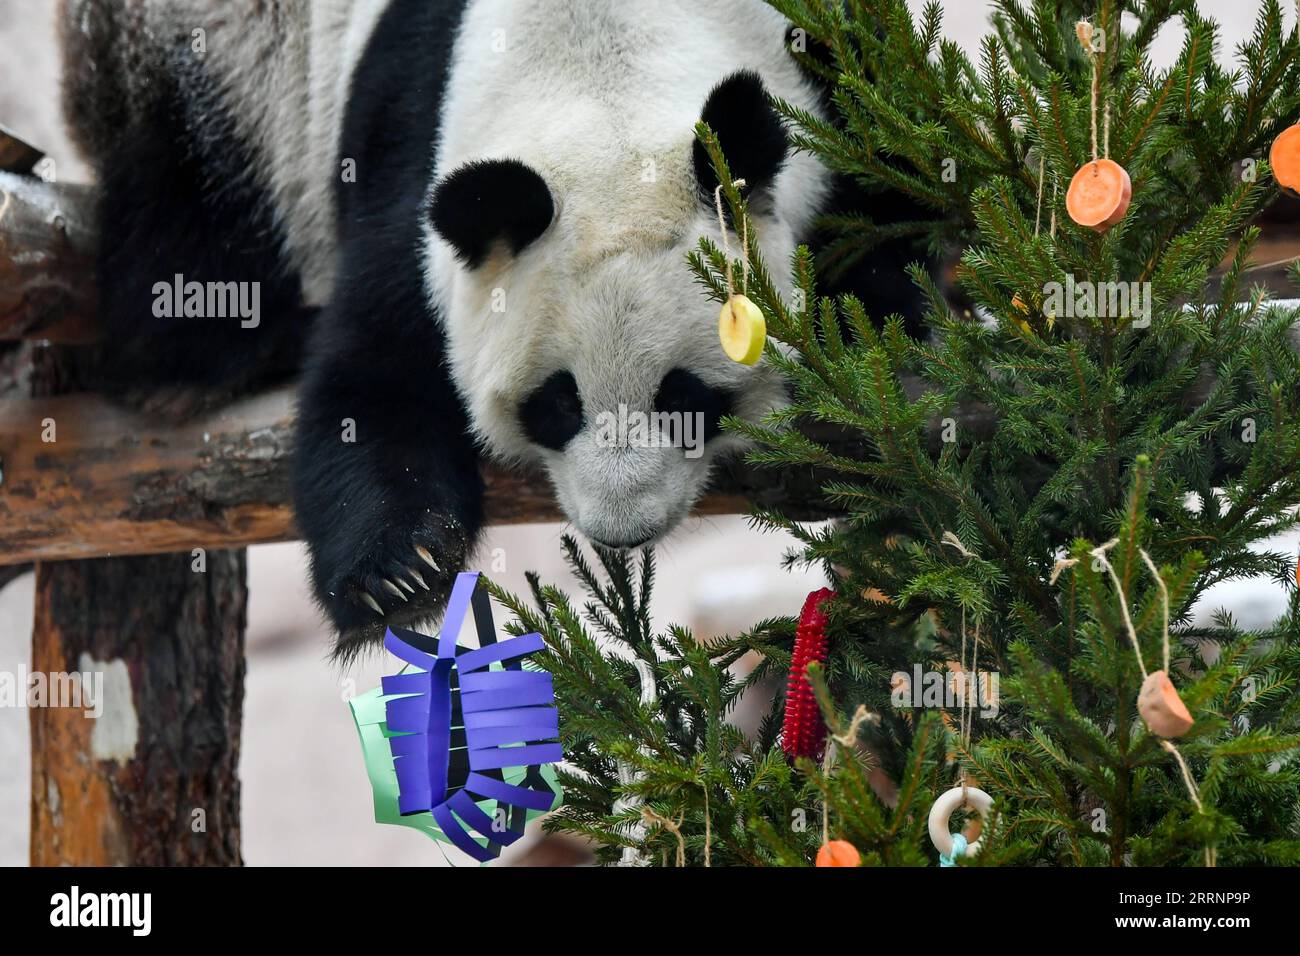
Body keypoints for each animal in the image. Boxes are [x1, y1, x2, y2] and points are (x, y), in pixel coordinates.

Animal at [58, 0, 915, 655]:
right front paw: (396, 574)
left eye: (685, 396)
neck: (605, 65)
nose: (623, 528)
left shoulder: (825, 59)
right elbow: (373, 369)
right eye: (558, 402)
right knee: (187, 221)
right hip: (215, 71)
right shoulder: (413, 151)